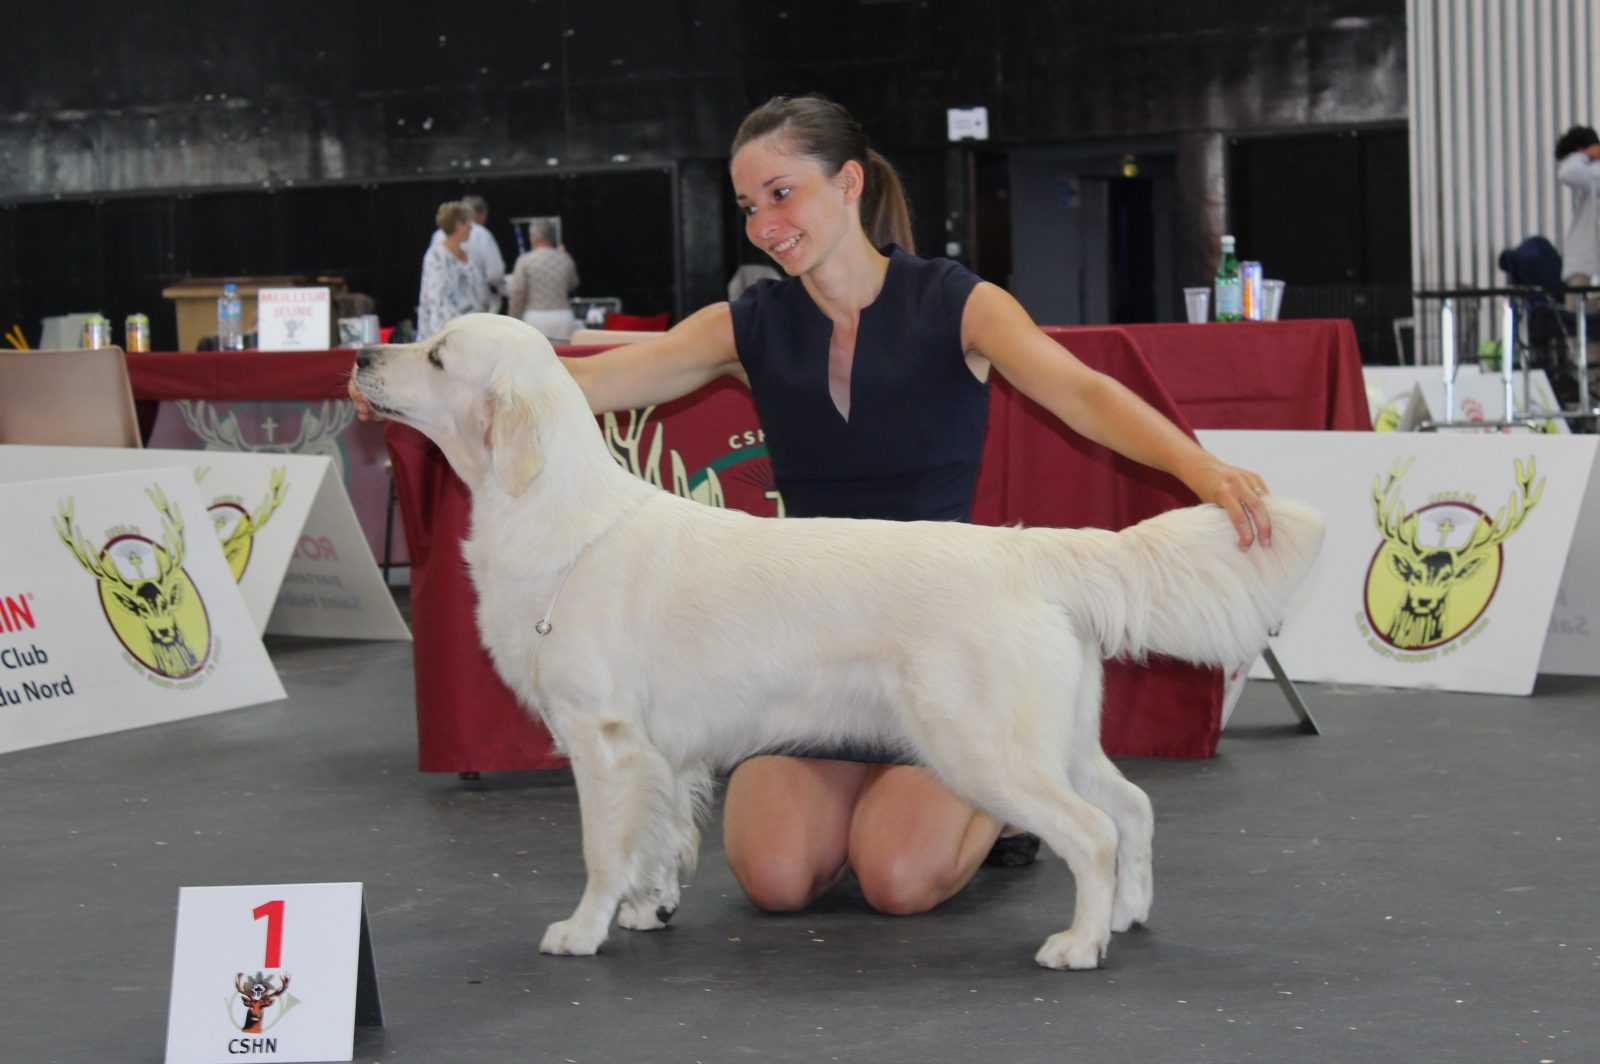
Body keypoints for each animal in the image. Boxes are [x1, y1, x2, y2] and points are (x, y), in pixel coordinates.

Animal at [360, 315, 1324, 972]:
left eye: (438, 354)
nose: (363, 357)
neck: (559, 517)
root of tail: (1025, 548)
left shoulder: (603, 738)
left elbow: (603, 848)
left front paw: (584, 928)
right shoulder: (661, 752)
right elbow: (660, 836)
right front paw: (648, 908)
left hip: (981, 747)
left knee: (1089, 832)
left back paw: (1079, 944)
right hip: (1056, 735)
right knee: (1132, 807)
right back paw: (1127, 914)